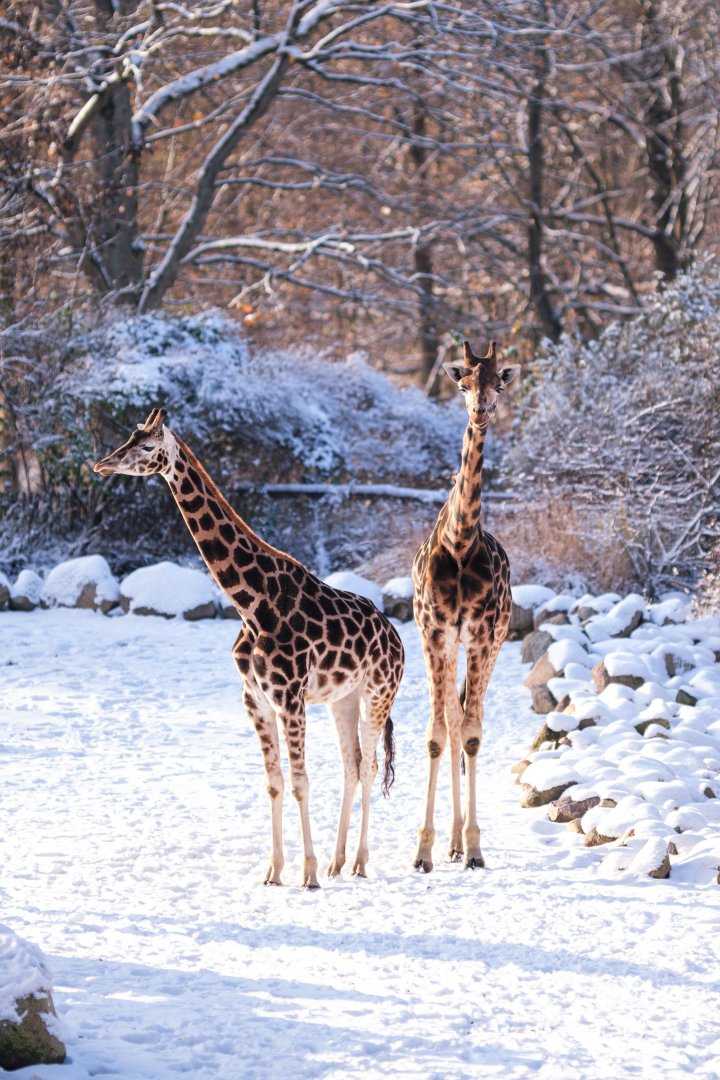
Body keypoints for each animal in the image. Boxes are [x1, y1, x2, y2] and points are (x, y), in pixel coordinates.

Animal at [94, 408, 404, 889]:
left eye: (146, 446)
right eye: (128, 437)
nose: (102, 465)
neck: (251, 602)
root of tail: (397, 637)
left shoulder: (290, 697)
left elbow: (300, 782)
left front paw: (307, 874)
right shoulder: (255, 698)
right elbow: (274, 783)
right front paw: (274, 872)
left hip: (379, 693)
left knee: (369, 767)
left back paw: (357, 863)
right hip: (343, 698)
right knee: (352, 766)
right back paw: (337, 862)